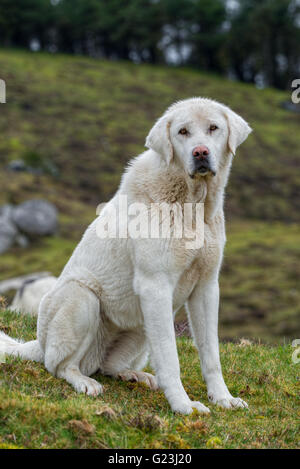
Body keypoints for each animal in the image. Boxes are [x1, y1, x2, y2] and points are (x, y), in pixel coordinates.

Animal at [0, 98, 252, 414]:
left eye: (213, 128)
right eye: (182, 131)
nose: (200, 152)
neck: (192, 204)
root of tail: (38, 342)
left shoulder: (206, 287)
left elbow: (211, 354)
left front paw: (223, 398)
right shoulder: (155, 287)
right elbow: (170, 358)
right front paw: (184, 406)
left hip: (145, 321)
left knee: (108, 365)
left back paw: (134, 375)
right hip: (83, 297)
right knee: (59, 365)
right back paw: (84, 382)